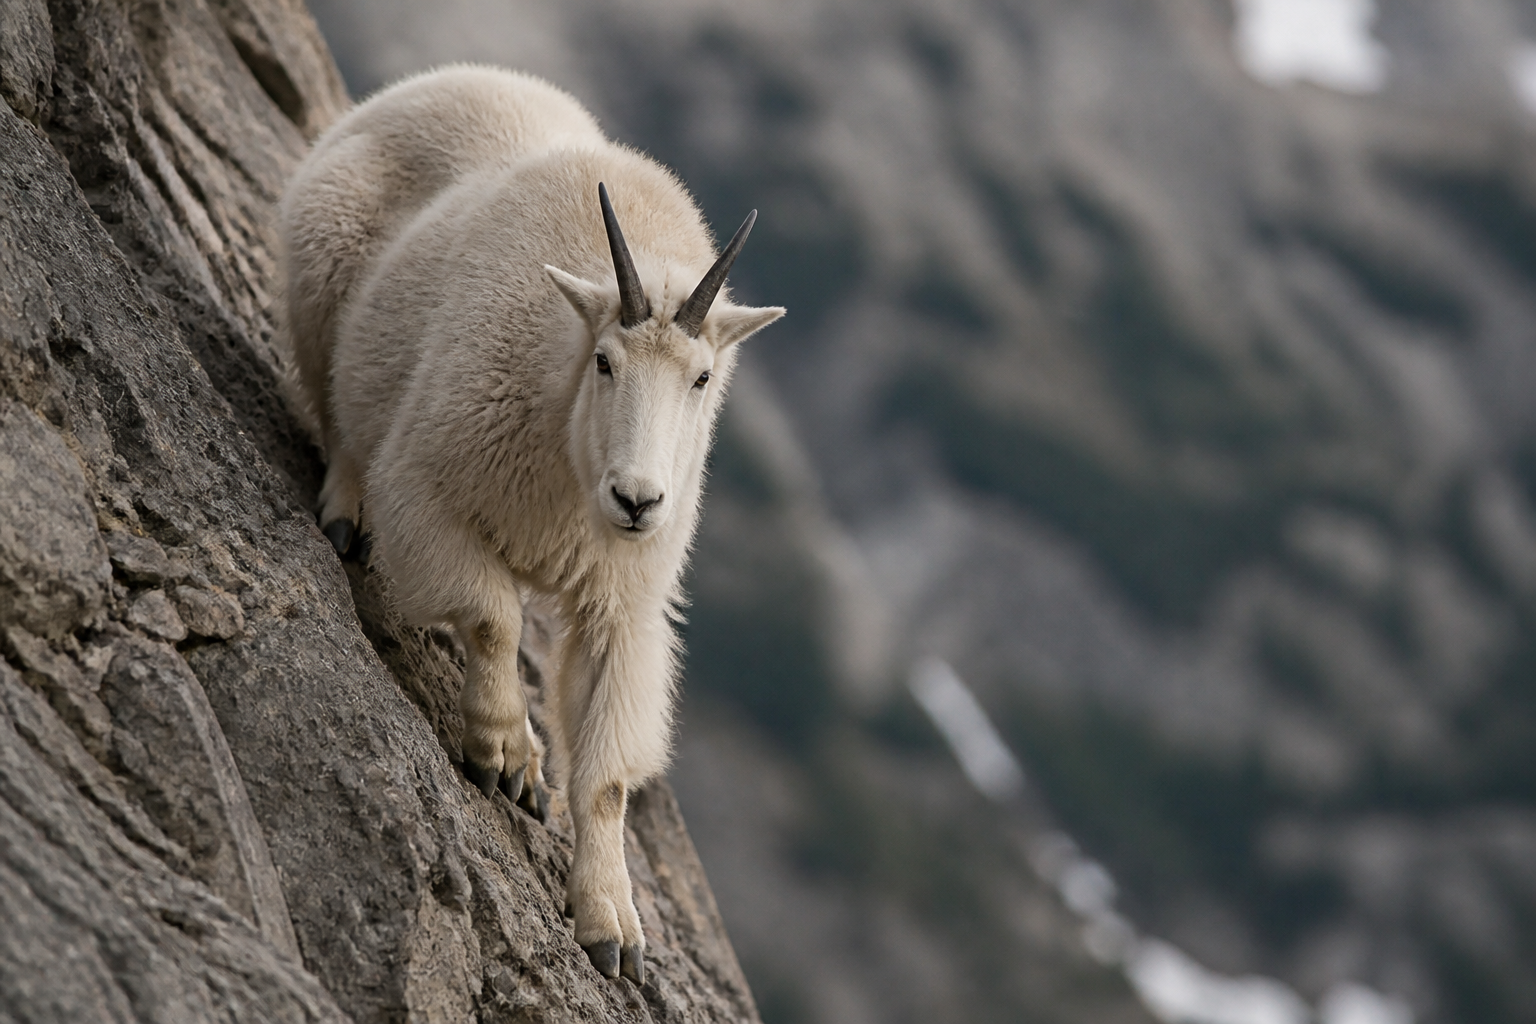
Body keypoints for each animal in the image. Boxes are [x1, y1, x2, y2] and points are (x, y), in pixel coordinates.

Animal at [279, 65, 784, 984]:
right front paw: (507, 756)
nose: (638, 501)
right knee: (337, 410)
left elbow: (608, 777)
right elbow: (492, 617)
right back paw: (344, 513)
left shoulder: (625, 599)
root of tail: (442, 80)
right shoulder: (430, 486)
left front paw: (612, 926)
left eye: (701, 379)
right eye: (606, 361)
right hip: (322, 272)